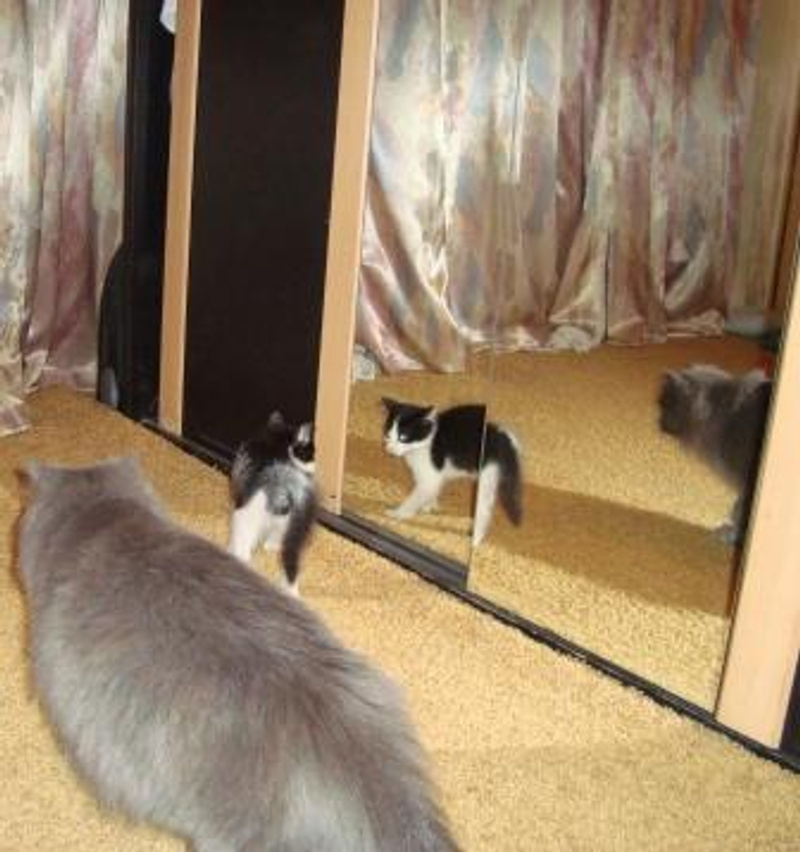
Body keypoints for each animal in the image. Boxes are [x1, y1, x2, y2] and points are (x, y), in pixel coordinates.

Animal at [381, 398, 522, 546]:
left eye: (403, 437)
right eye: (387, 435)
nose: (389, 449)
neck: (427, 441)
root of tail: (500, 434)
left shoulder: (430, 475)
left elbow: (416, 497)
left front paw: (398, 513)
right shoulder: (435, 477)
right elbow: (432, 490)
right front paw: (430, 505)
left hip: (487, 474)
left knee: (484, 508)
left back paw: (475, 541)